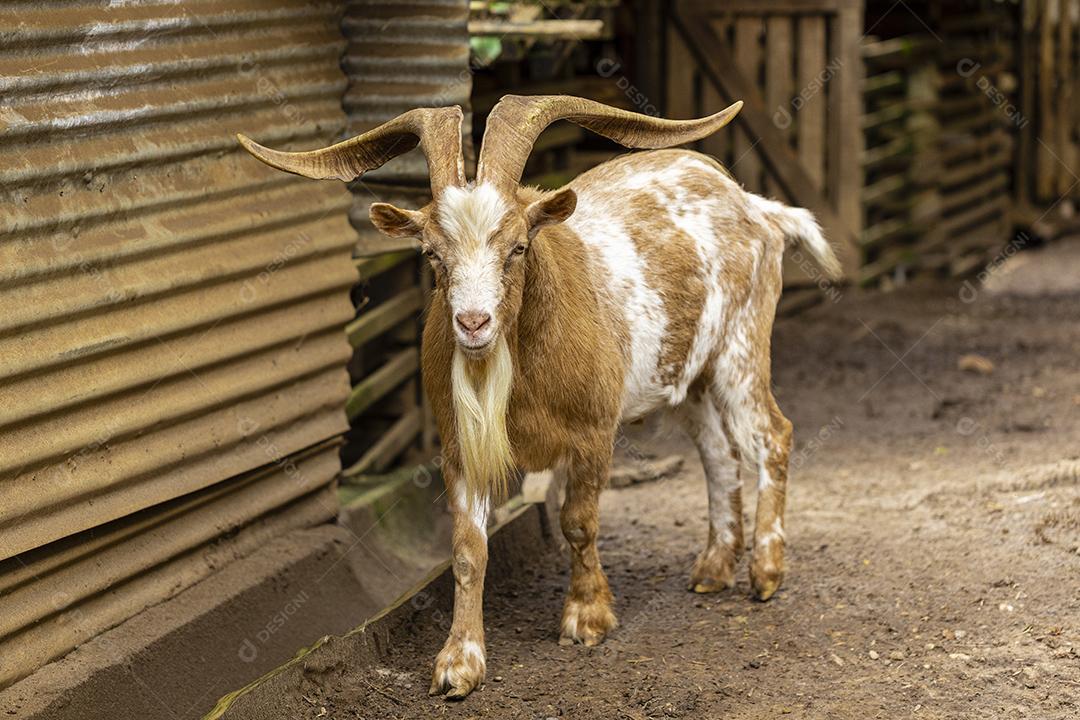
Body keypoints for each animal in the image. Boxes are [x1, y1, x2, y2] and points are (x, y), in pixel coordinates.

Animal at [238, 95, 841, 699]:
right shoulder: (459, 449)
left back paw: (765, 573)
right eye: (433, 254)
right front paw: (459, 664)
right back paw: (713, 569)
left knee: (771, 434)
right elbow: (467, 548)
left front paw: (587, 617)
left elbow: (579, 521)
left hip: (742, 343)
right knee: (718, 452)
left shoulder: (594, 433)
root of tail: (755, 205)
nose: (473, 323)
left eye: (517, 248)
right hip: (687, 376)